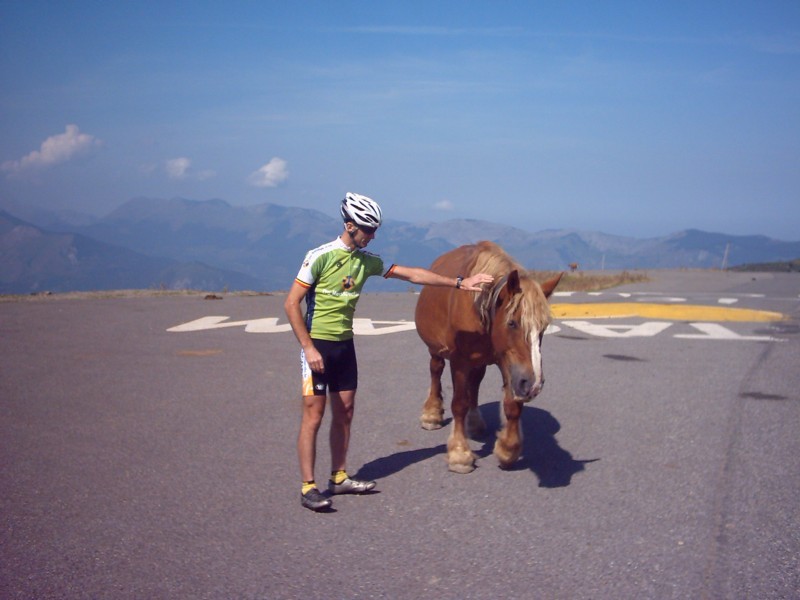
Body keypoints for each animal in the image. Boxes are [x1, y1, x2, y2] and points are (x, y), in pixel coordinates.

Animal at [416, 240, 560, 474]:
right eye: (512, 323)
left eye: (543, 327)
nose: (534, 384)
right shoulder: (460, 362)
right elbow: (459, 404)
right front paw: (459, 453)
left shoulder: (507, 363)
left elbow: (512, 406)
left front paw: (508, 449)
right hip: (436, 350)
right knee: (435, 371)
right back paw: (432, 413)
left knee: (475, 383)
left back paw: (474, 422)